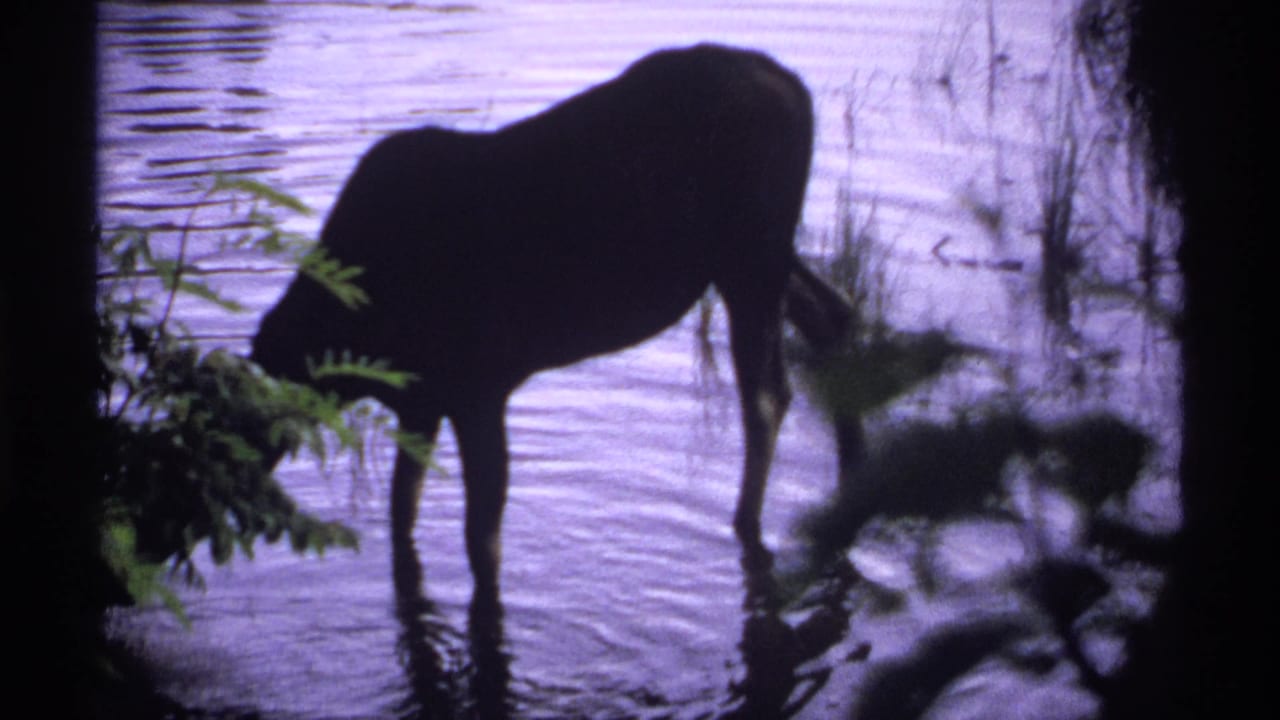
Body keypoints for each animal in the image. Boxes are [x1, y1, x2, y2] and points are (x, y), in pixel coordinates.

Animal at [251, 43, 854, 596]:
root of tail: (797, 89)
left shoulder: (478, 388)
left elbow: (482, 543)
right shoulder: (420, 402)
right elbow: (403, 516)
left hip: (748, 256)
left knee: (767, 397)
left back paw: (749, 519)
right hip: (759, 257)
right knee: (835, 314)